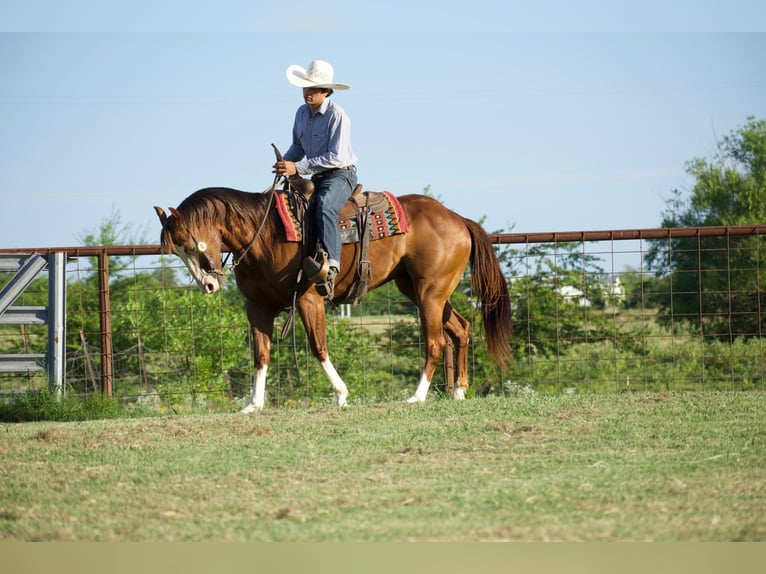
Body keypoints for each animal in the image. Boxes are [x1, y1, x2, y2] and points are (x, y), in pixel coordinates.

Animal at [154, 185, 511, 412]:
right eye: (177, 250)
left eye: (192, 245)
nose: (208, 285)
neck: (266, 234)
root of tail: (457, 218)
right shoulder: (257, 307)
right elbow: (261, 354)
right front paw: (253, 405)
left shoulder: (308, 300)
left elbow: (318, 347)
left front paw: (341, 395)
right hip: (421, 290)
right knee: (461, 329)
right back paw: (459, 391)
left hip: (429, 294)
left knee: (436, 342)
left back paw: (417, 397)